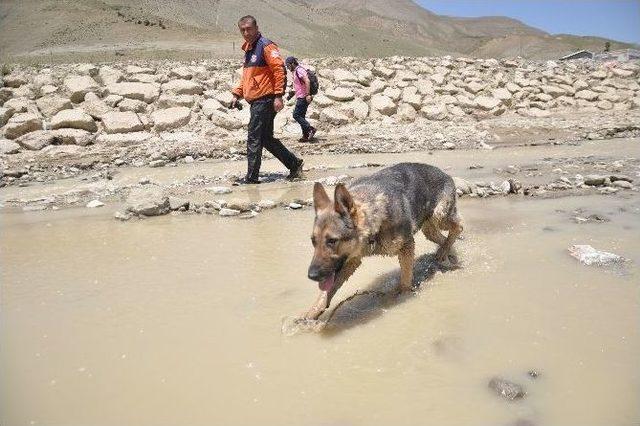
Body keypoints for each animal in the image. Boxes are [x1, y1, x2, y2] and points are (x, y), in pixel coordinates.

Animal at [302, 163, 462, 320]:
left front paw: (403, 297)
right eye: (313, 241)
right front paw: (312, 313)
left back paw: (446, 251)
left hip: (439, 216)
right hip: (429, 230)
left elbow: (405, 279)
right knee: (443, 238)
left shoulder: (407, 246)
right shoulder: (351, 260)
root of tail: (443, 173)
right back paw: (447, 254)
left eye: (332, 241)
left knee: (458, 226)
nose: (311, 276)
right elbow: (327, 291)